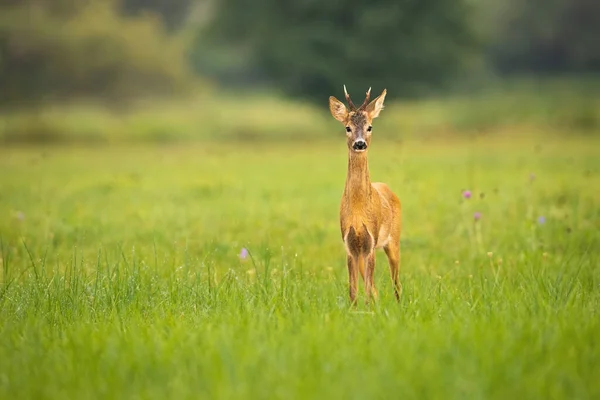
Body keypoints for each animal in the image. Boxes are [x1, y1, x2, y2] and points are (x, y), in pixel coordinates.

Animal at [330, 85, 400, 304]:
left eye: (370, 127)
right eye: (347, 127)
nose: (360, 143)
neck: (359, 210)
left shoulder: (371, 241)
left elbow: (367, 289)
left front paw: (369, 309)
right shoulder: (350, 244)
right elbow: (353, 290)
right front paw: (355, 309)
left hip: (394, 239)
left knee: (396, 282)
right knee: (376, 287)